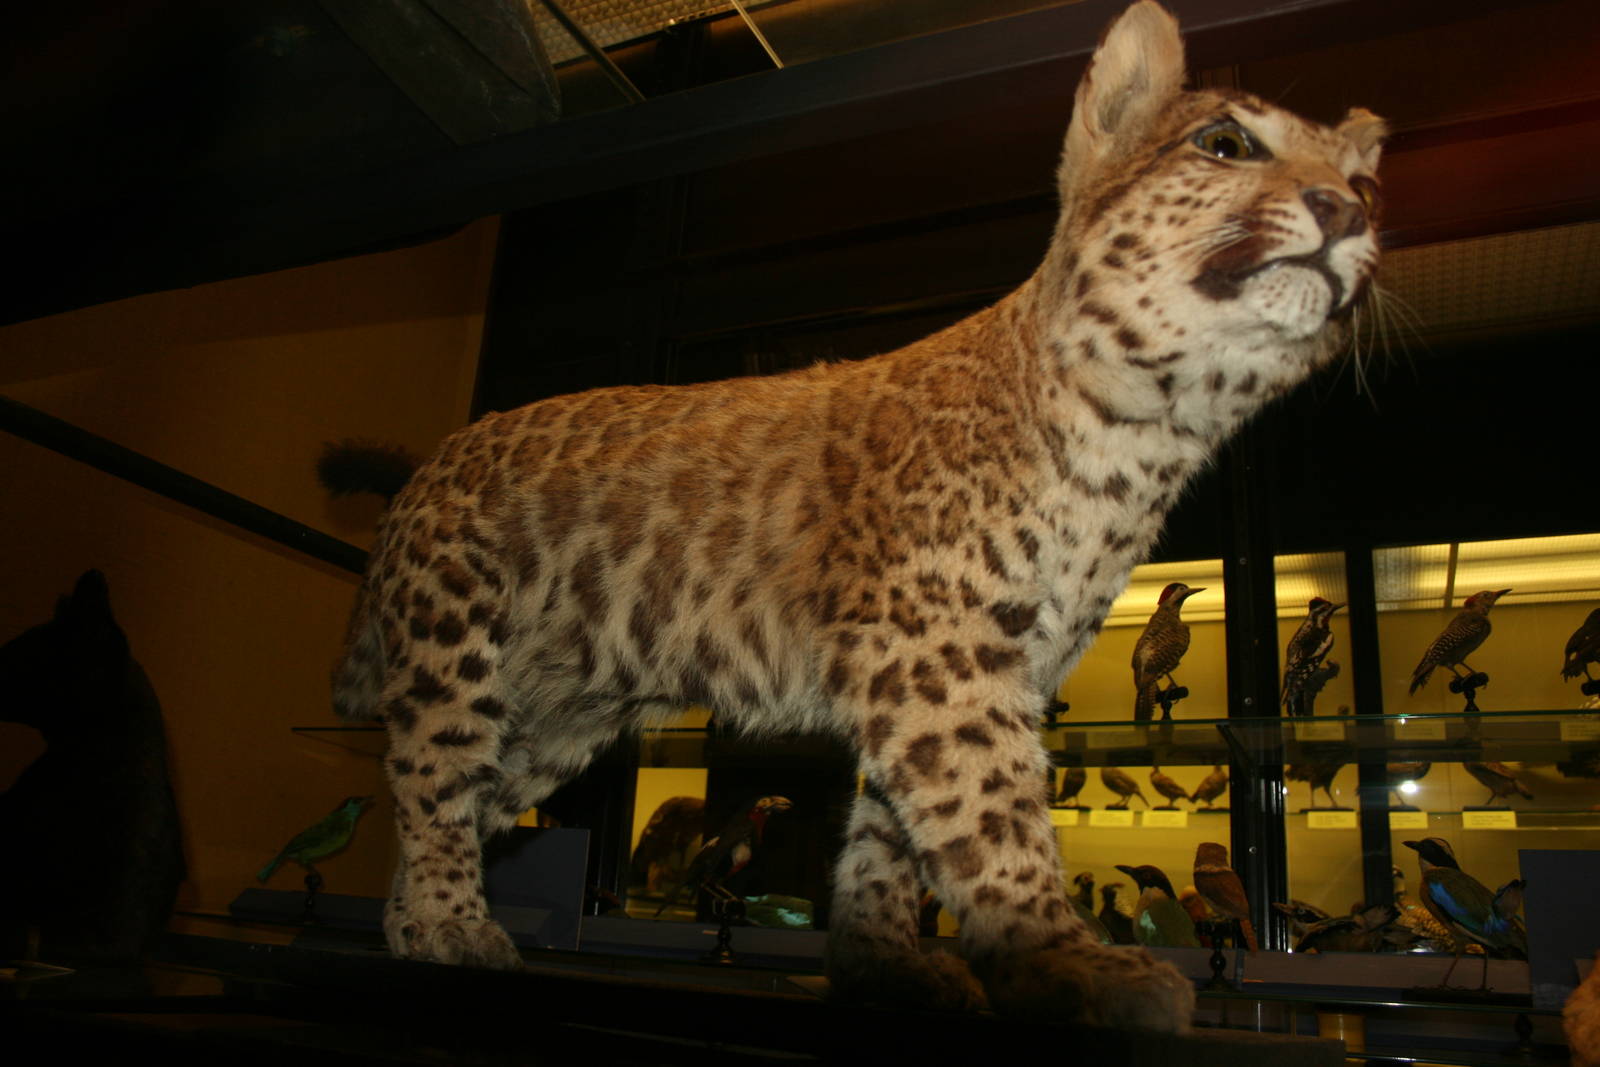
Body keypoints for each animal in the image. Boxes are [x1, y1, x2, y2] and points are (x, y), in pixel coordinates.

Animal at [330, 0, 1384, 1030]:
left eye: (1365, 184)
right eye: (1225, 142)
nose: (1347, 210)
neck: (1144, 437)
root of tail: (430, 462)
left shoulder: (961, 664)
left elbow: (892, 838)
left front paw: (887, 965)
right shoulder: (933, 651)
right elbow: (992, 811)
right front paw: (1065, 959)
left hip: (556, 718)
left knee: (466, 798)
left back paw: (410, 924)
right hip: (454, 649)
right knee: (431, 782)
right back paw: (449, 924)